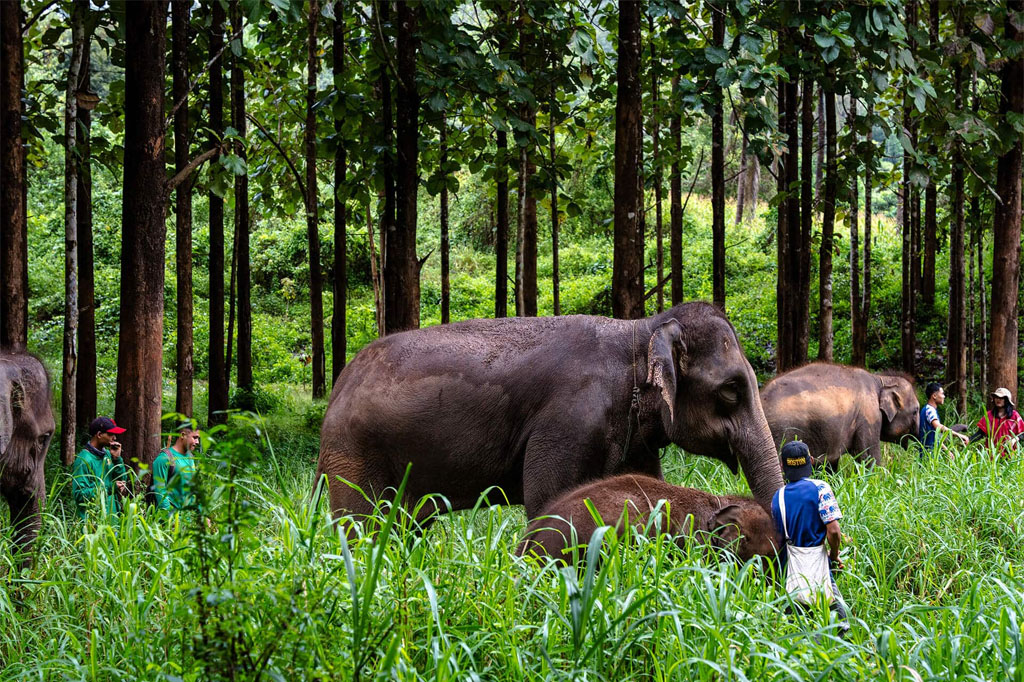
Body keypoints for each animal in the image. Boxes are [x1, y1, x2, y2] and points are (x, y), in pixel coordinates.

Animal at [315, 302, 784, 522]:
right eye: (731, 391)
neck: (639, 331)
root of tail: (339, 385)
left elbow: (644, 488)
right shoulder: (570, 421)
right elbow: (548, 502)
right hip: (353, 454)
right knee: (362, 525)